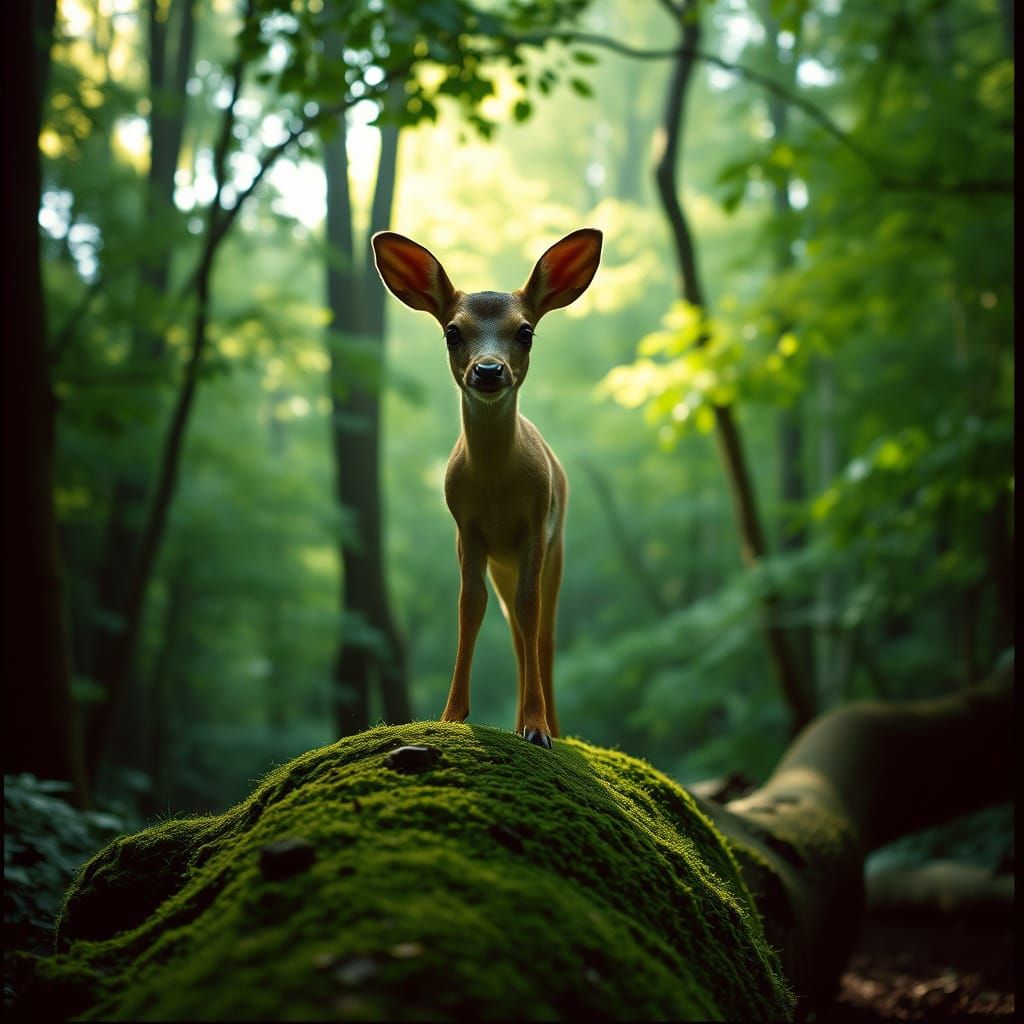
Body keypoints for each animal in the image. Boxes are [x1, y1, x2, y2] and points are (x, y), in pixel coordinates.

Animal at [371, 228, 603, 749]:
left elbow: (531, 611)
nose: (490, 370)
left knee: (541, 628)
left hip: (556, 547)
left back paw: (550, 727)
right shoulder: (468, 531)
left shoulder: (536, 525)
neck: (497, 488)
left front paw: (538, 728)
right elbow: (469, 607)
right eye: (452, 332)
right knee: (516, 629)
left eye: (525, 331)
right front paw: (451, 715)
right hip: (504, 562)